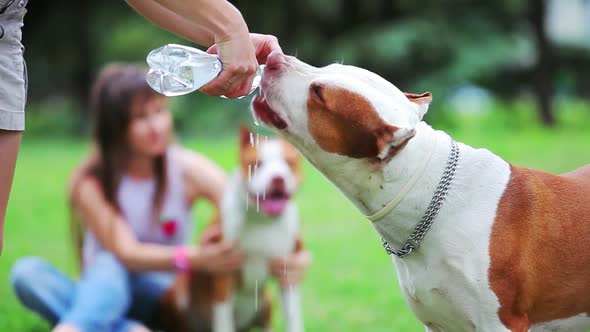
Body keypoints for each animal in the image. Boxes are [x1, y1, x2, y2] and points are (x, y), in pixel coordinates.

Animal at [164, 127, 308, 332]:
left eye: (289, 163)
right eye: (257, 164)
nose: (278, 178)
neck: (262, 221)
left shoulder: (288, 274)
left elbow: (293, 319)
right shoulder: (223, 272)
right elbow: (224, 320)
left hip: (266, 303)